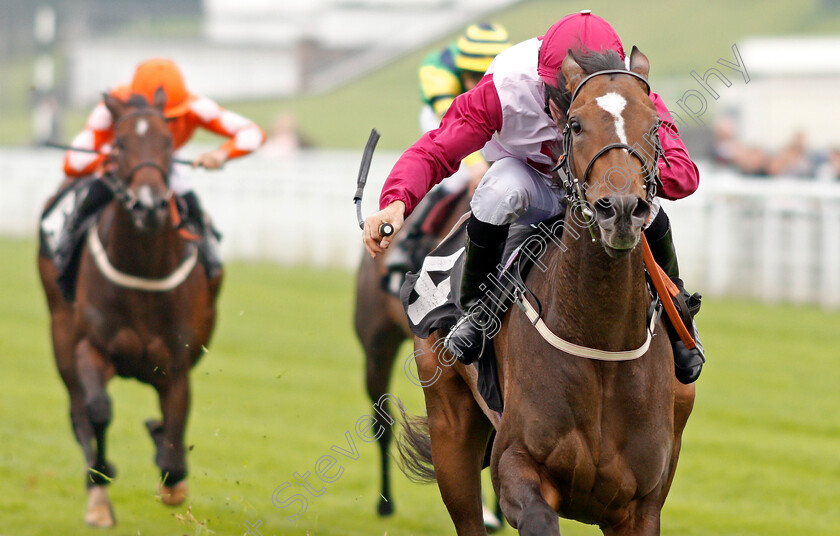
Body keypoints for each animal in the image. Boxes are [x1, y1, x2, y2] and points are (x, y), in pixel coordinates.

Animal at [37, 89, 221, 528]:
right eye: (119, 145)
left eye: (168, 143)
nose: (149, 207)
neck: (143, 270)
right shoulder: (91, 348)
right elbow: (98, 410)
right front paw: (102, 479)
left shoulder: (176, 365)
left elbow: (174, 440)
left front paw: (171, 474)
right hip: (60, 331)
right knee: (79, 410)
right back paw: (96, 488)